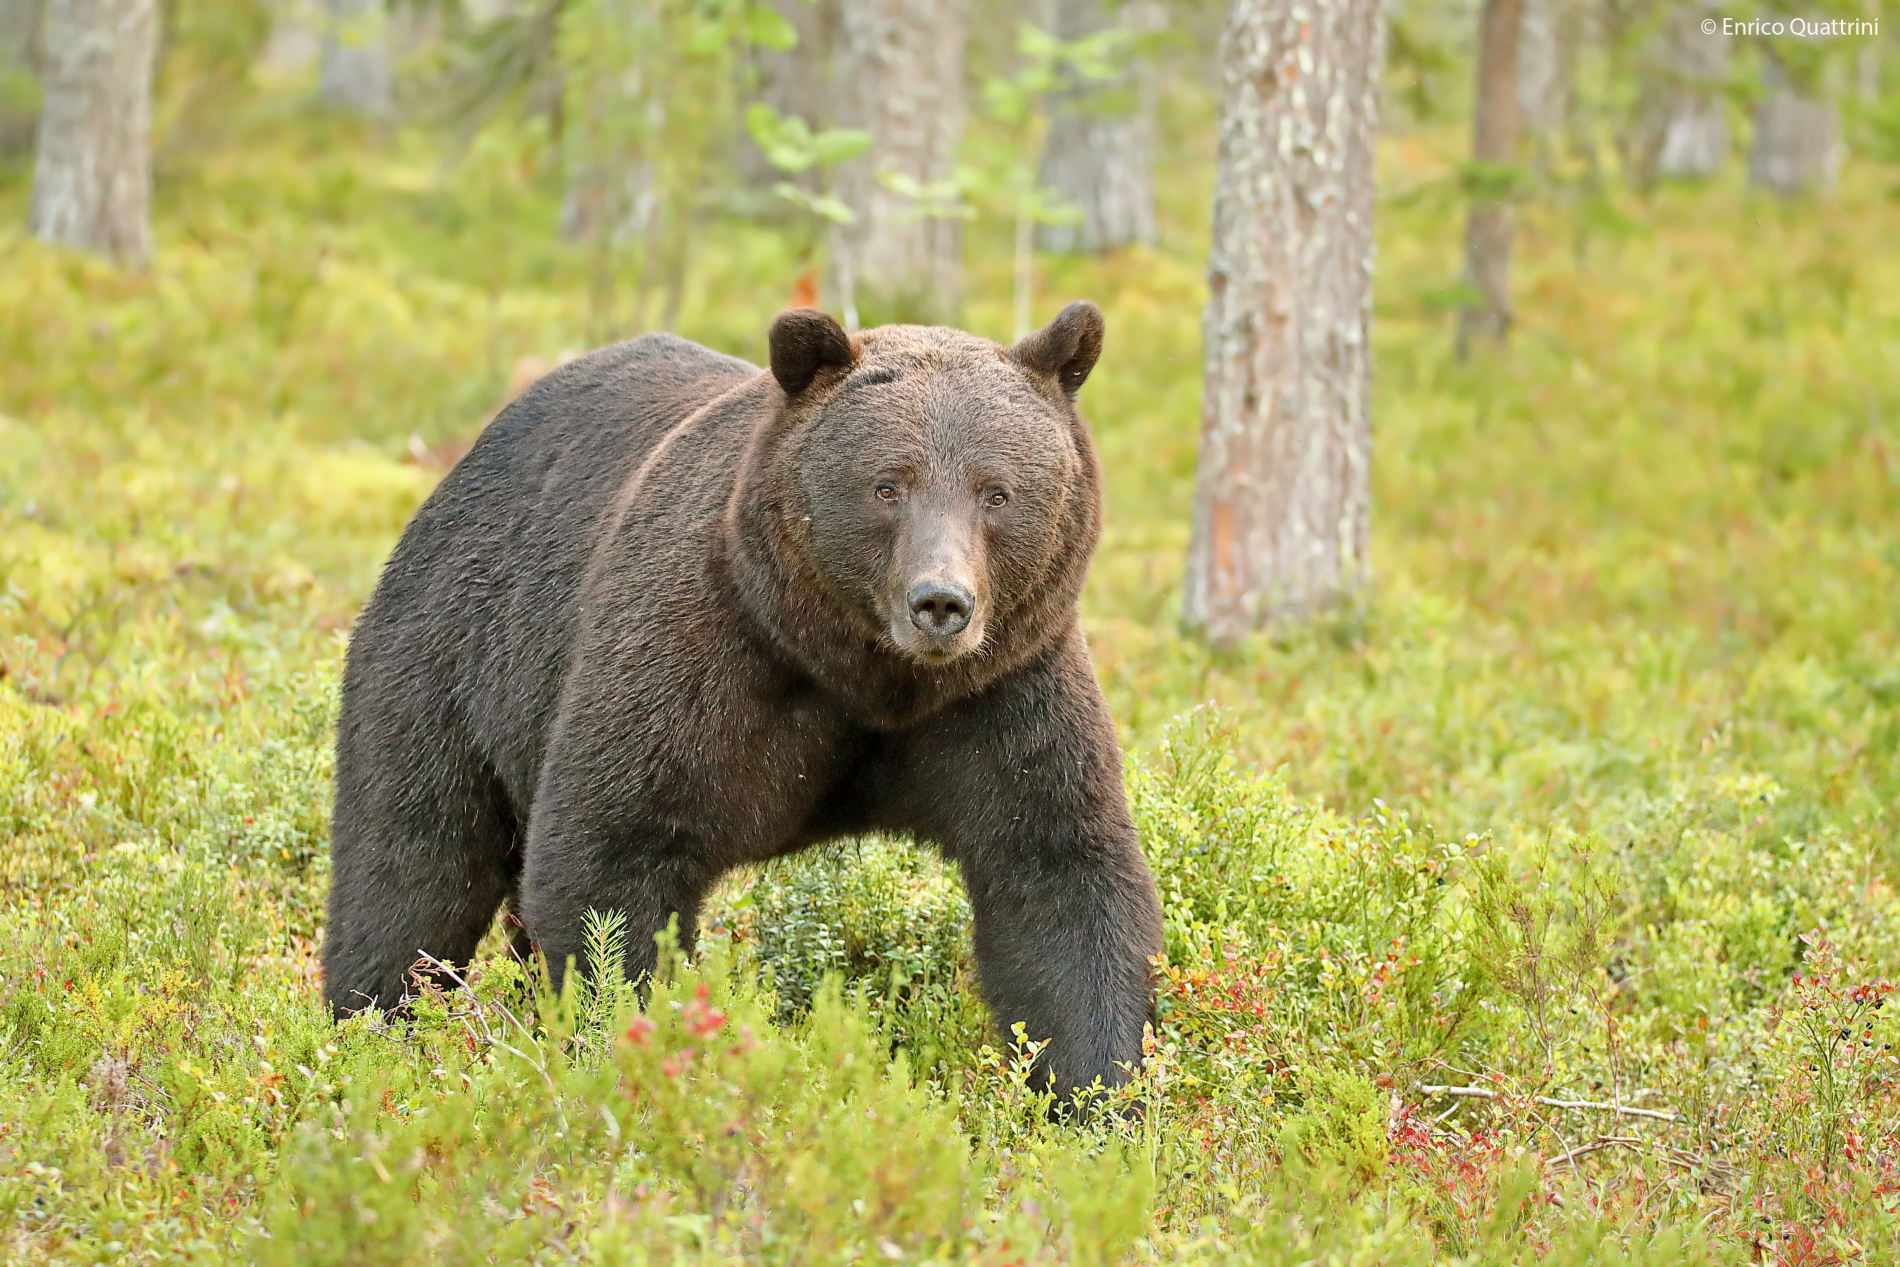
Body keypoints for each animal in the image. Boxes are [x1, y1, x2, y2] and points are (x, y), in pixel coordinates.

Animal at [322, 302, 1164, 1098]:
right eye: (888, 484)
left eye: (997, 491)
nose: (941, 602)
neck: (862, 672)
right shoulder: (701, 656)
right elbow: (612, 856)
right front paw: (622, 1039)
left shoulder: (1003, 691)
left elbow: (1060, 875)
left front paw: (1098, 1094)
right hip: (453, 653)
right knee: (413, 863)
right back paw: (366, 1029)